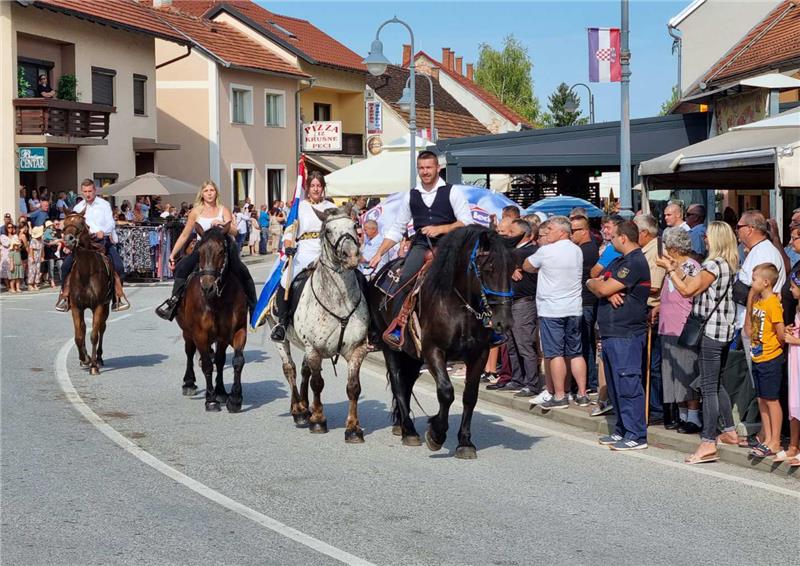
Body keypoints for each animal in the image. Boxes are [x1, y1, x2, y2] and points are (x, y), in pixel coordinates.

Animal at [61, 213, 114, 378]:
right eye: (64, 223)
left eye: (82, 224)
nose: (68, 239)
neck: (85, 273)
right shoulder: (76, 307)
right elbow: (79, 335)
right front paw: (85, 359)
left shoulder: (98, 305)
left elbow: (94, 335)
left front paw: (94, 366)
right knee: (83, 328)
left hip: (105, 307)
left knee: (102, 328)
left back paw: (99, 358)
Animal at [177, 224, 248, 414]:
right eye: (199, 250)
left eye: (222, 251)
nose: (207, 287)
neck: (217, 301)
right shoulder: (199, 334)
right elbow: (208, 365)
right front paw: (211, 400)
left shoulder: (236, 331)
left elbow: (235, 361)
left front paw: (233, 398)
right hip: (187, 333)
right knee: (189, 352)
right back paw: (189, 383)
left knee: (219, 359)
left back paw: (221, 392)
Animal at [368, 224, 512, 460]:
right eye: (489, 268)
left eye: (512, 270)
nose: (504, 322)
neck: (459, 307)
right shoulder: (433, 350)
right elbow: (446, 391)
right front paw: (436, 433)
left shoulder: (479, 354)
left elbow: (470, 396)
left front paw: (465, 442)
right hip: (391, 348)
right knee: (398, 382)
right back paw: (409, 431)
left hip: (412, 356)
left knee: (407, 383)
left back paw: (402, 425)